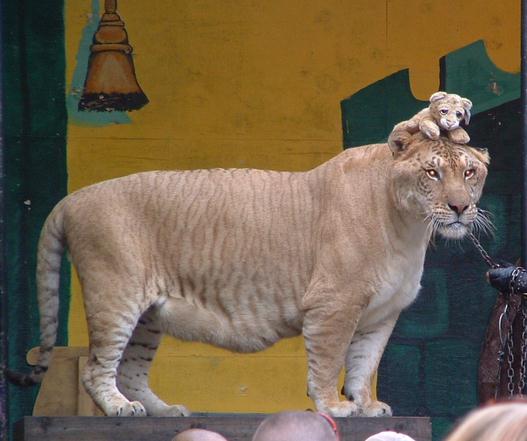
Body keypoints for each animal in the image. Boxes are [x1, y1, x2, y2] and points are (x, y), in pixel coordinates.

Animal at [11, 131, 490, 416]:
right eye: (432, 172)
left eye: (470, 172)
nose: (460, 207)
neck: (409, 227)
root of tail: (70, 199)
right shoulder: (333, 305)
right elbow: (329, 361)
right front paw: (333, 407)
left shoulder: (380, 315)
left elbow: (364, 362)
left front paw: (367, 405)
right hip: (116, 295)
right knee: (97, 366)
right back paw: (119, 409)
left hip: (147, 315)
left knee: (130, 369)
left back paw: (164, 411)